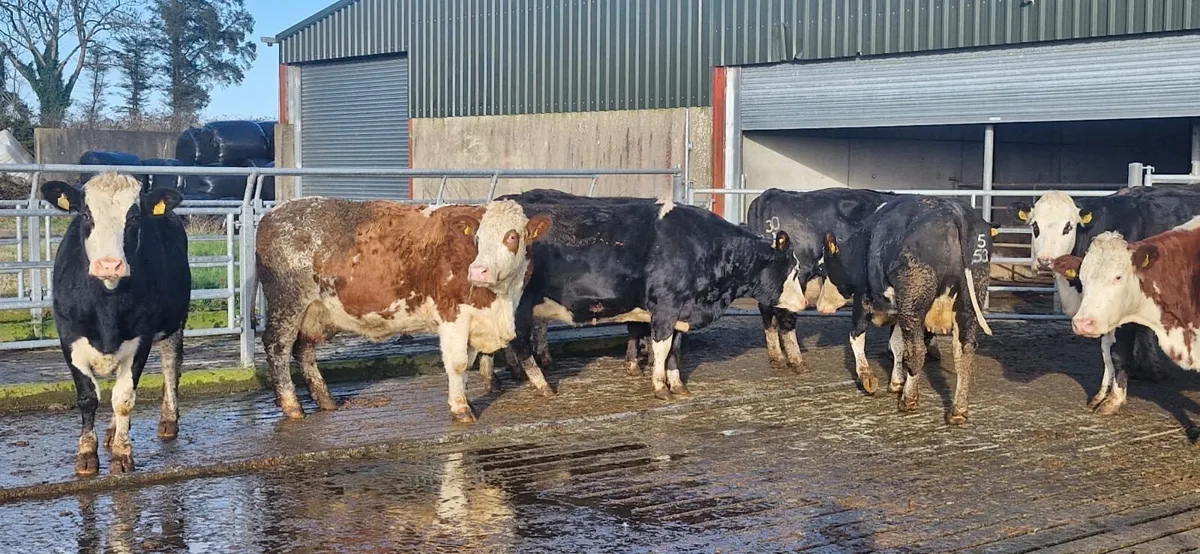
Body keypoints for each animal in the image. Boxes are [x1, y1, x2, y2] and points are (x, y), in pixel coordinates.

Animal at [40, 174, 191, 476]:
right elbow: (88, 397)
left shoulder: (141, 338)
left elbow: (123, 398)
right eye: (86, 214)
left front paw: (123, 455)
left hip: (174, 323)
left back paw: (168, 420)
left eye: (133, 217)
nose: (109, 265)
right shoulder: (68, 336)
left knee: (171, 365)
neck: (106, 308)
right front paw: (87, 454)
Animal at [255, 197, 551, 423]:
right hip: (288, 304)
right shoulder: (452, 314)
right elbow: (457, 363)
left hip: (313, 311)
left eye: (511, 236)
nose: (479, 271)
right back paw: (293, 407)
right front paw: (461, 409)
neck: (501, 299)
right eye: (477, 238)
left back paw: (325, 400)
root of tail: (274, 213)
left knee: (303, 350)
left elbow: (472, 360)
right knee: (278, 347)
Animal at [501, 198, 809, 400]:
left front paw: (678, 386)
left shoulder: (680, 312)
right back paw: (540, 384)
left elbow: (674, 349)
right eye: (793, 269)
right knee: (518, 343)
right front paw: (661, 387)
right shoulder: (665, 307)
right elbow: (661, 348)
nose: (805, 304)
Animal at [745, 187, 898, 373]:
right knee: (786, 316)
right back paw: (797, 361)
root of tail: (772, 193)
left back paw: (777, 358)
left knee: (768, 314)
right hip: (797, 277)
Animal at [821, 195, 994, 425]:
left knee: (918, 351)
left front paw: (868, 378)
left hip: (913, 303)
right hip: (968, 303)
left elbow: (857, 336)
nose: (820, 305)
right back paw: (958, 411)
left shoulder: (864, 297)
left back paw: (909, 399)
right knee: (963, 354)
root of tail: (953, 211)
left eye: (823, 268)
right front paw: (896, 382)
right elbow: (897, 345)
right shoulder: (898, 310)